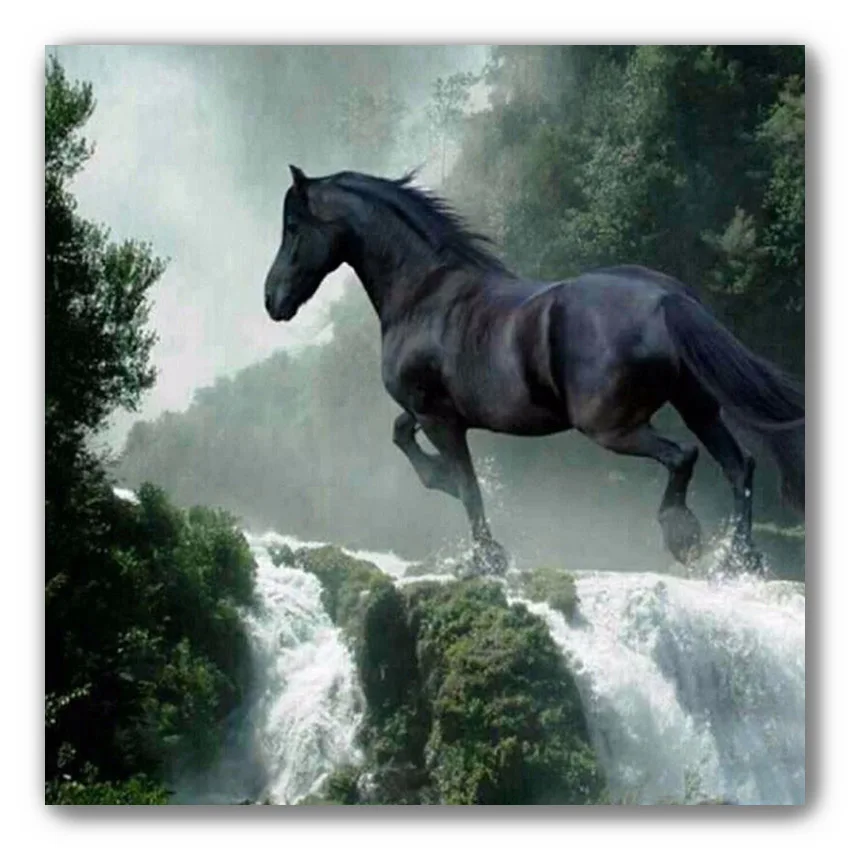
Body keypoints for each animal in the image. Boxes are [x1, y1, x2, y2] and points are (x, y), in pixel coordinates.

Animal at [264, 166, 805, 575]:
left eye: (293, 228)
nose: (272, 300)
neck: (424, 295)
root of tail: (665, 298)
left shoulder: (440, 419)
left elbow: (467, 486)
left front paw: (487, 557)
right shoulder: (428, 412)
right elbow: (405, 437)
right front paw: (440, 482)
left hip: (610, 426)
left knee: (683, 457)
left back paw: (684, 536)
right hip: (697, 406)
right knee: (738, 465)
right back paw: (740, 560)